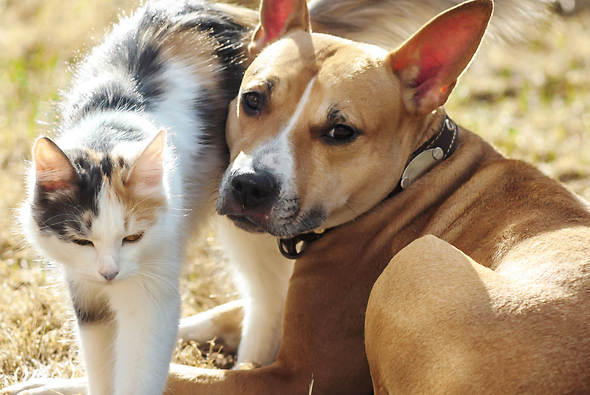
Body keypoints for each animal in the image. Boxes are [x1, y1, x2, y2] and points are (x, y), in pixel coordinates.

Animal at [165, 0, 590, 394]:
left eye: (341, 132)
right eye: (252, 100)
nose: (250, 184)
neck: (411, 175)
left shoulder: (294, 377)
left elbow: (180, 375)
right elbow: (212, 314)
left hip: (414, 259)